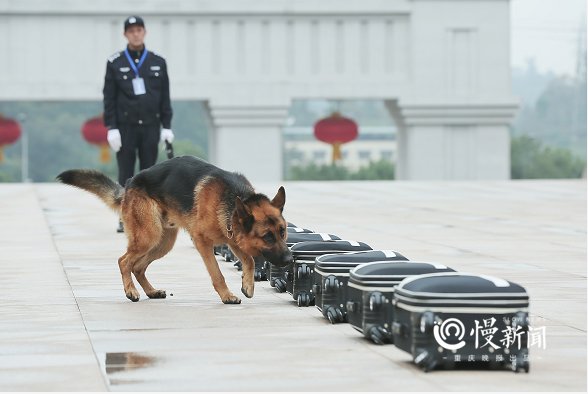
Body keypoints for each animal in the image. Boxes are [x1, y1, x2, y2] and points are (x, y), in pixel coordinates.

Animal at [57, 155, 292, 304]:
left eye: (282, 232)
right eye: (267, 237)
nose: (290, 259)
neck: (232, 199)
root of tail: (130, 182)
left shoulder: (232, 237)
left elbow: (250, 260)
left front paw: (248, 285)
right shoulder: (202, 242)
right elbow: (217, 274)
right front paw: (227, 296)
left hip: (163, 243)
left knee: (138, 266)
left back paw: (151, 292)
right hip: (149, 237)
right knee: (124, 261)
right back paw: (131, 291)